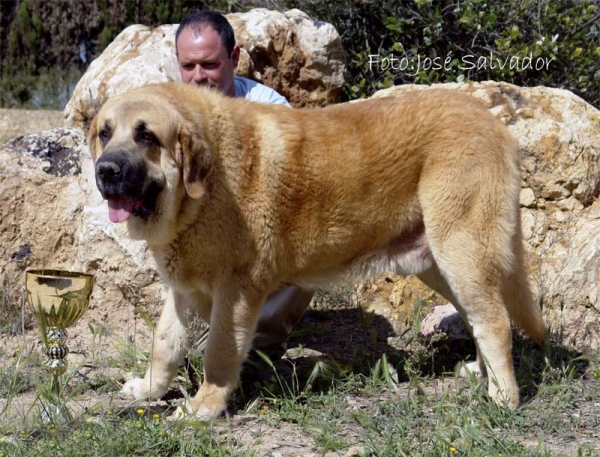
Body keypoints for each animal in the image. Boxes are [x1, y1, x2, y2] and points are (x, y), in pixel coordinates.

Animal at [89, 81, 544, 416]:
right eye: (104, 133)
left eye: (147, 136)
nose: (105, 171)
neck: (201, 193)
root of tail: (495, 124)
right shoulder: (182, 290)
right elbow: (164, 345)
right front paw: (149, 390)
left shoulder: (236, 292)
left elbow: (218, 354)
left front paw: (205, 406)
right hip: (441, 264)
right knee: (478, 316)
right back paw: (481, 373)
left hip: (462, 252)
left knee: (495, 321)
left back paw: (503, 398)